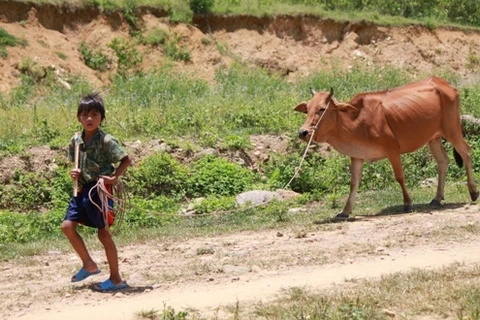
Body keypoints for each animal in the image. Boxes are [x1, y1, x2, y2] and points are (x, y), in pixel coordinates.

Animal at [294, 76, 478, 219]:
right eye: (307, 109)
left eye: (322, 109)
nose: (303, 132)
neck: (357, 121)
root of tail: (444, 83)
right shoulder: (357, 156)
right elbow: (354, 184)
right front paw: (345, 211)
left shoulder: (393, 150)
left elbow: (400, 177)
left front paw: (408, 204)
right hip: (434, 137)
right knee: (443, 161)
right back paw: (437, 198)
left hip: (452, 129)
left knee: (466, 152)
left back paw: (473, 192)